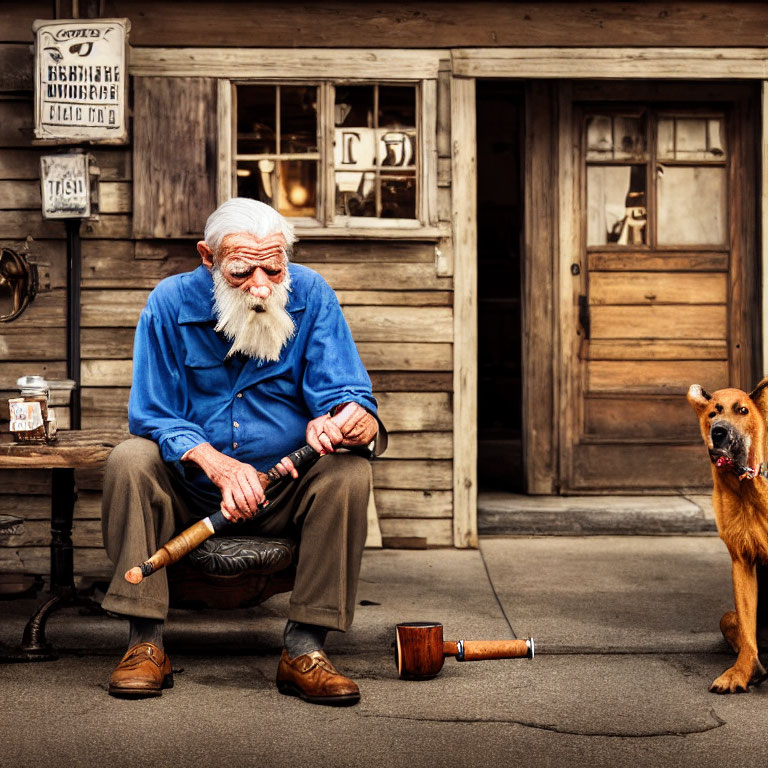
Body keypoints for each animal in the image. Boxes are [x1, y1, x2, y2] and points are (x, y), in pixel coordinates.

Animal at [688, 380, 768, 692]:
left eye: (743, 410)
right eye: (713, 413)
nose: (718, 431)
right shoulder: (741, 560)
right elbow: (747, 632)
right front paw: (743, 672)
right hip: (726, 618)